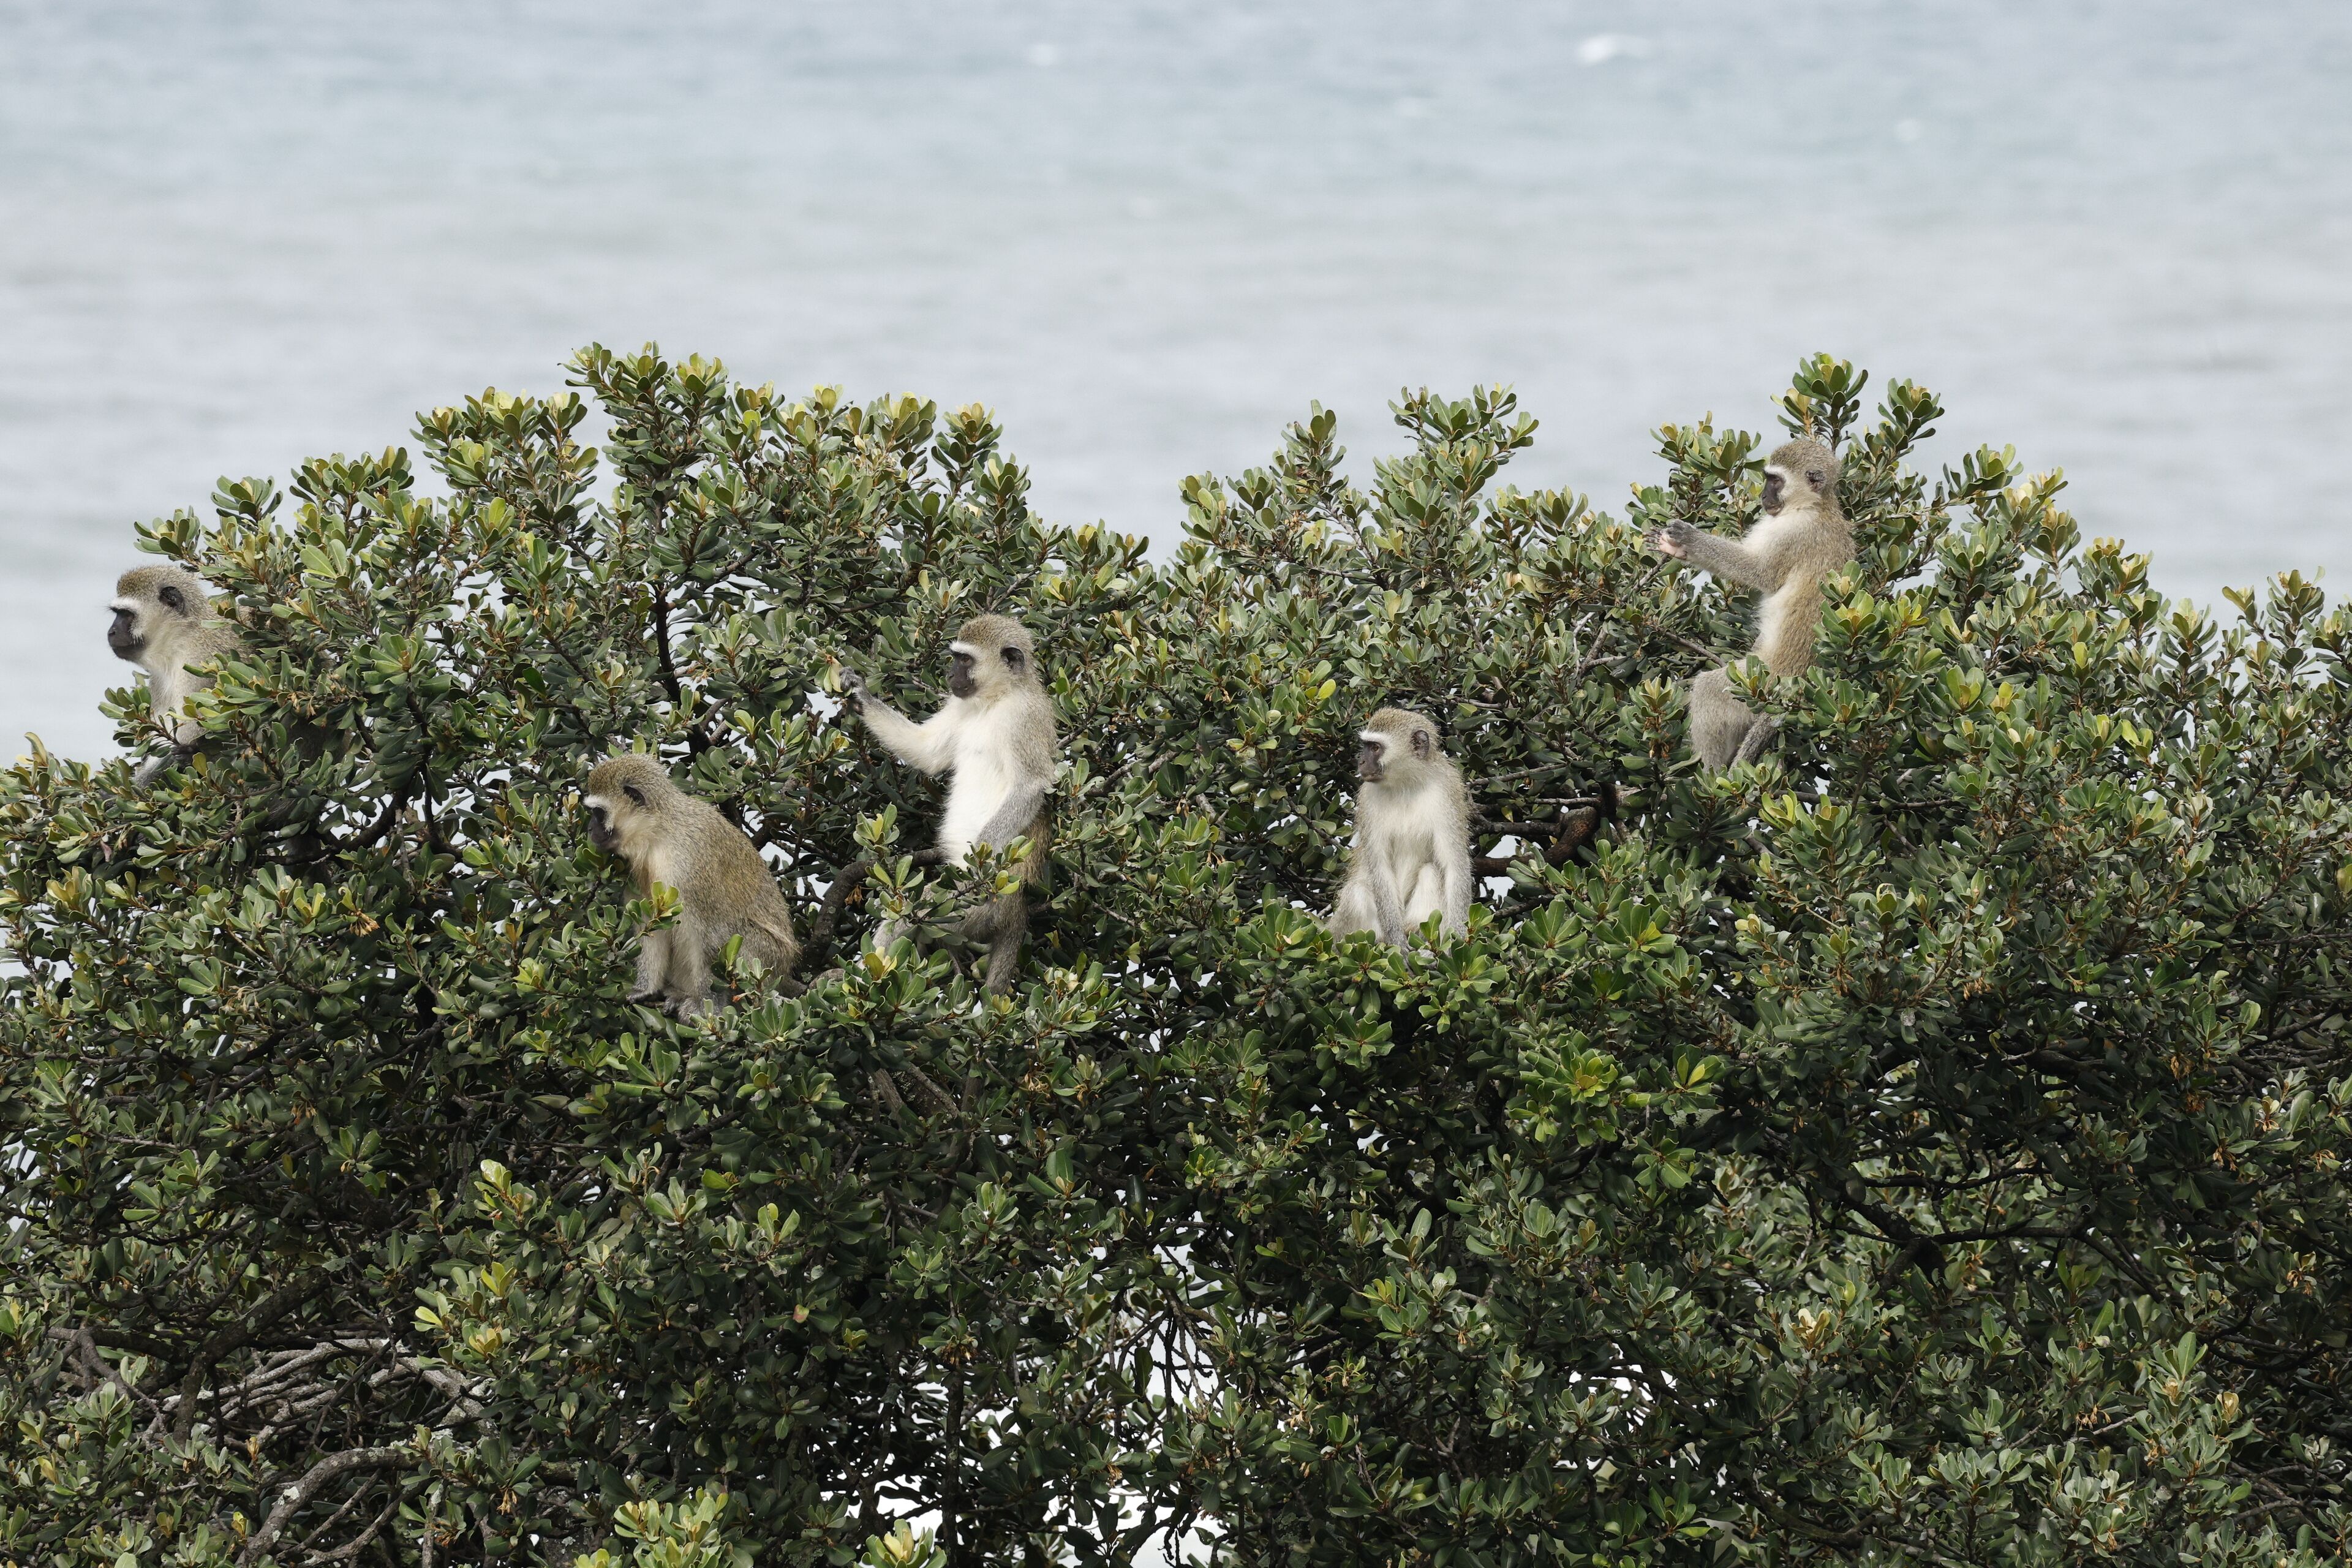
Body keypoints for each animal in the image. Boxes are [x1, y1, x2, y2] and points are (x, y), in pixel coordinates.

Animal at [582, 754, 800, 1014]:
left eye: (598, 813)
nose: (590, 829)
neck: (659, 835)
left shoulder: (694, 864)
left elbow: (714, 933)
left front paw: (706, 1007)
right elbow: (651, 924)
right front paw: (645, 989)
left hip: (766, 965)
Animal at [840, 613, 1055, 995]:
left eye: (965, 660)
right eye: (955, 657)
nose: (949, 675)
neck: (995, 700)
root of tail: (1016, 903)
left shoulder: (1024, 718)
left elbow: (1030, 786)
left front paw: (978, 867)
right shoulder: (960, 704)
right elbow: (927, 751)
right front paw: (861, 693)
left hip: (980, 906)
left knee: (921, 908)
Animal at [1327, 707, 1473, 946]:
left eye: (1375, 748)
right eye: (1366, 746)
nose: (1361, 763)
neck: (1406, 784)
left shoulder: (1447, 792)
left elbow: (1453, 864)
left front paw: (1457, 938)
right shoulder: (1367, 800)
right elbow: (1380, 867)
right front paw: (1396, 942)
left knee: (1431, 871)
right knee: (1358, 891)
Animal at [1646, 435, 1853, 769]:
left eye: (1776, 481)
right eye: (1767, 478)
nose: (1763, 496)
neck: (1812, 506)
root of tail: (1797, 687)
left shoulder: (1793, 535)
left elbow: (1757, 572)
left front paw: (1689, 539)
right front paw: (1676, 548)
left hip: (1759, 687)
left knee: (1710, 691)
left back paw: (1710, 777)